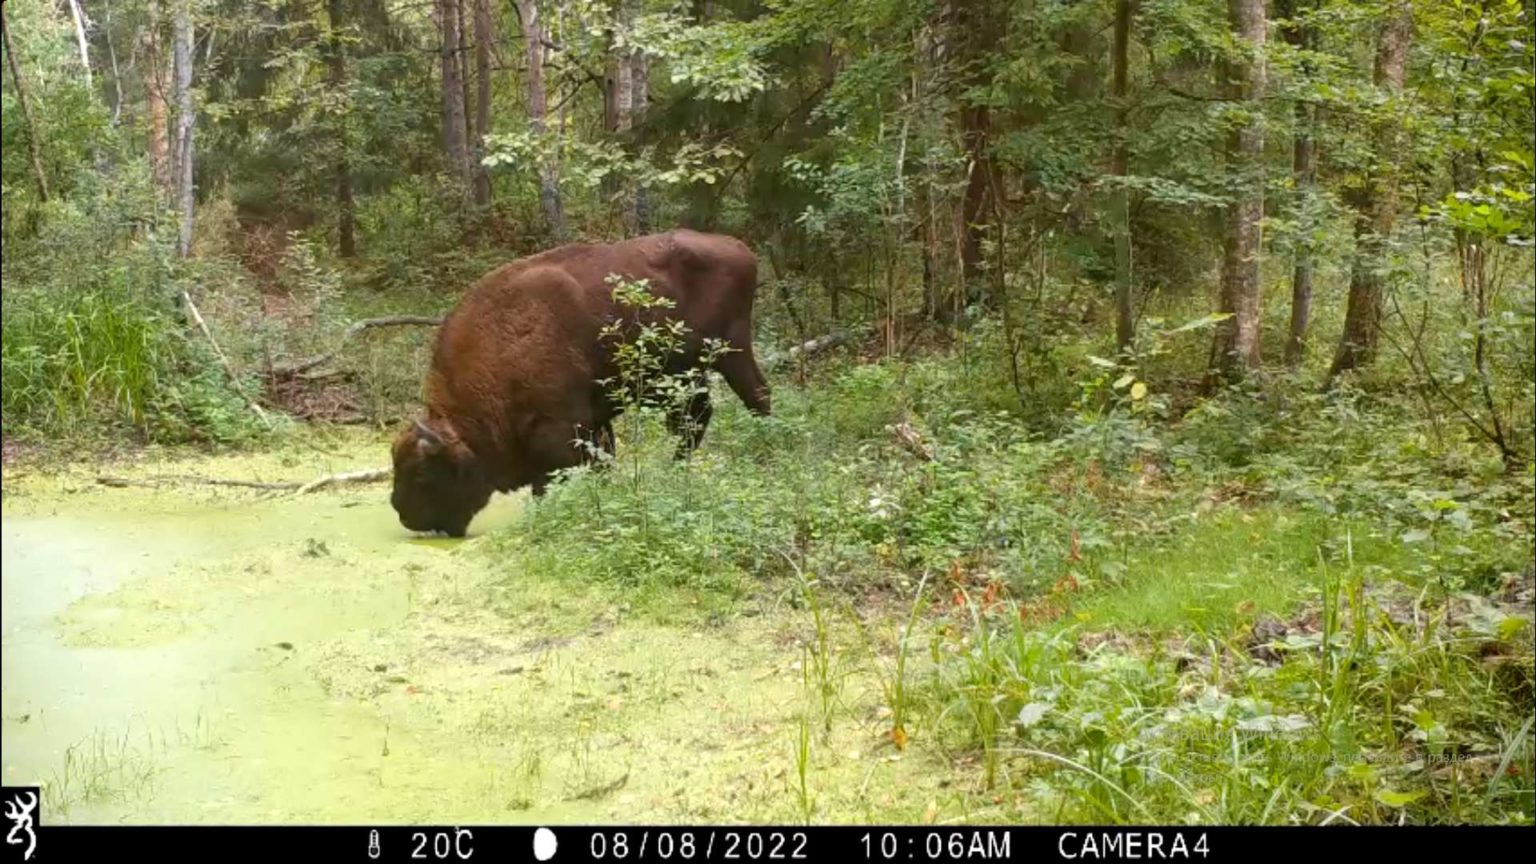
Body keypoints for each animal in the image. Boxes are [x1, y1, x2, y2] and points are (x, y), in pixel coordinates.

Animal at [384, 232, 768, 535]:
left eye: (422, 475)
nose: (404, 515)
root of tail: (740, 249)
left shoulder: (559, 430)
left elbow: (550, 481)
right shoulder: (595, 423)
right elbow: (603, 461)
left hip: (731, 353)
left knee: (756, 397)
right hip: (681, 377)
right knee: (696, 416)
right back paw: (674, 470)